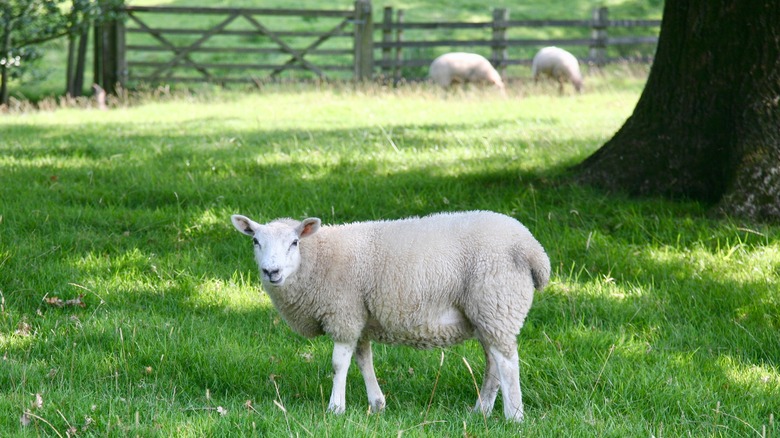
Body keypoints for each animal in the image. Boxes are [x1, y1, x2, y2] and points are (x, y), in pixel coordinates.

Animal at [229, 210, 552, 422]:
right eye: (256, 241)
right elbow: (364, 360)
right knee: (493, 363)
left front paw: (335, 408)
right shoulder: (359, 316)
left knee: (507, 362)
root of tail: (533, 249)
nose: (271, 271)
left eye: (294, 243)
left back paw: (514, 416)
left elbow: (338, 364)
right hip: (486, 315)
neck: (318, 259)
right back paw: (481, 411)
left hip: (497, 302)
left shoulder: (344, 313)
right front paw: (377, 404)